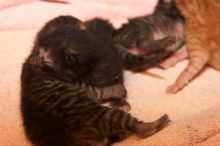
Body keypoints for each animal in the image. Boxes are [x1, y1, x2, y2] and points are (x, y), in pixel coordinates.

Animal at [20, 15, 169, 146]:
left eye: (44, 59)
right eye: (39, 53)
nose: (32, 62)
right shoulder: (78, 84)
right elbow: (99, 90)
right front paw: (118, 90)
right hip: (103, 116)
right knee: (135, 126)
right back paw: (155, 123)